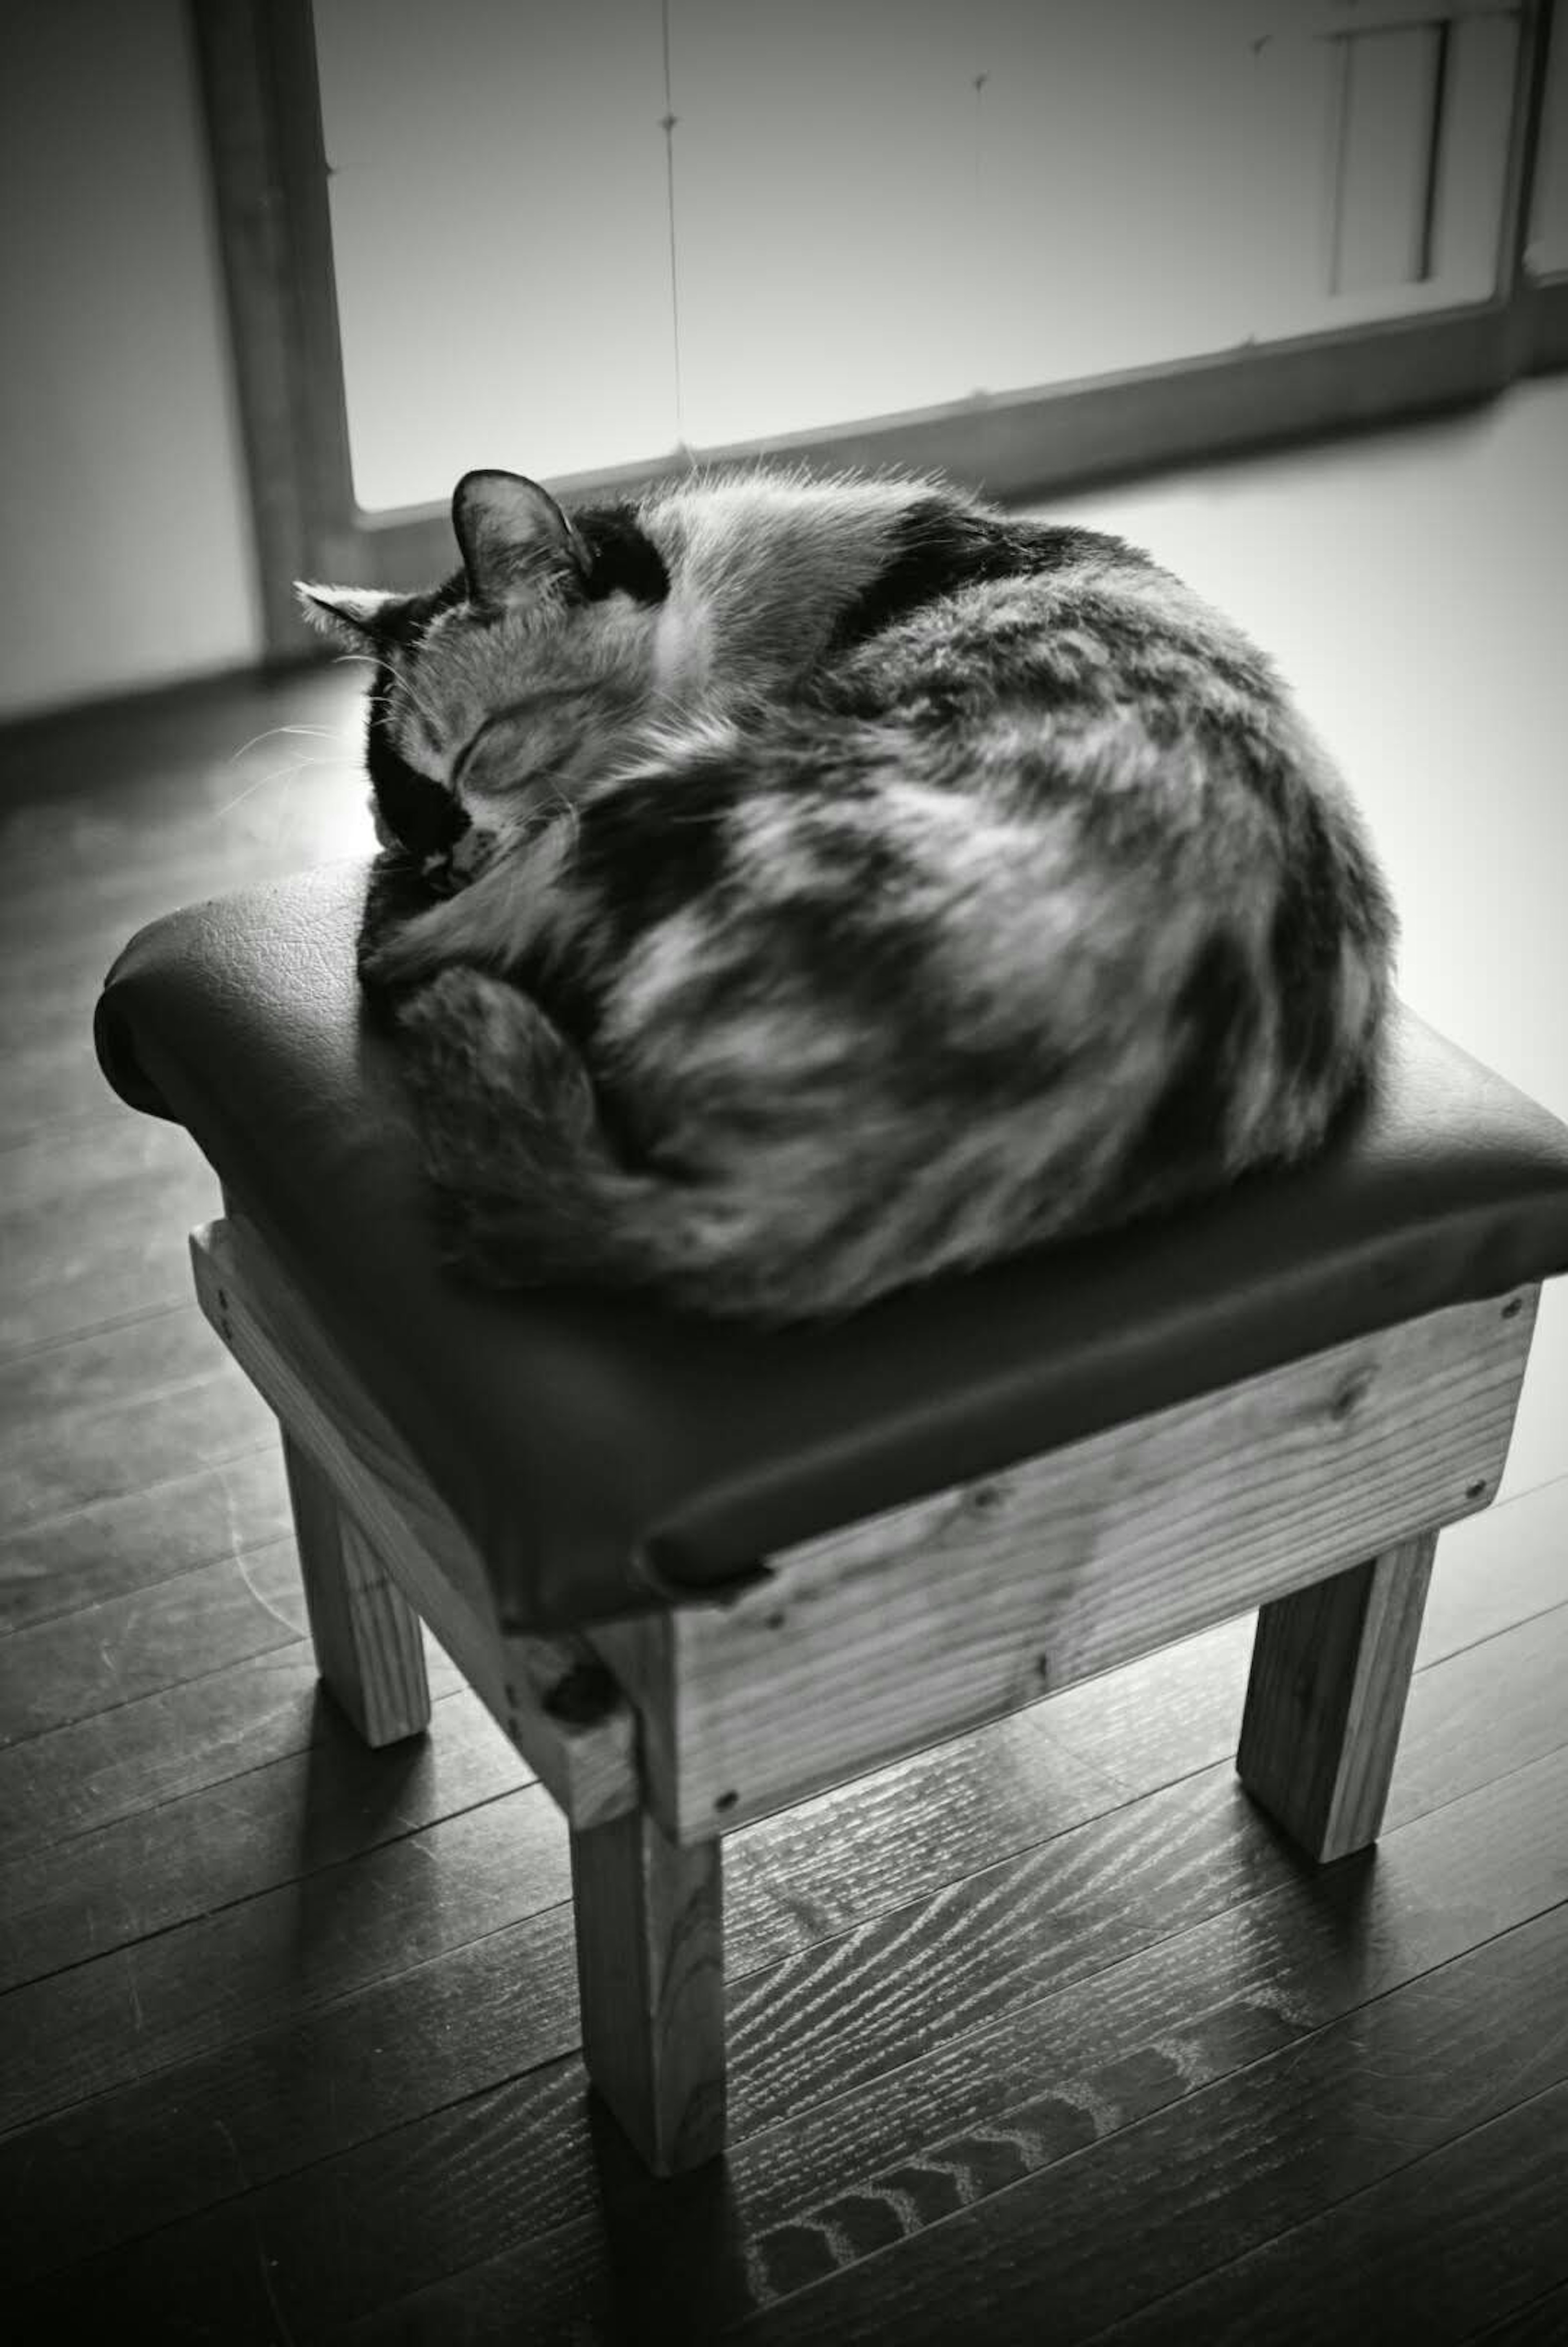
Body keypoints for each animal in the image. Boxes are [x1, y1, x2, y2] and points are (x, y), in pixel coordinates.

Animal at [293, 462, 1399, 1323]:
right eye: (389, 805)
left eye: (480, 752)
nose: (431, 854)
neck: (737, 588)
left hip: (661, 793)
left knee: (396, 955)